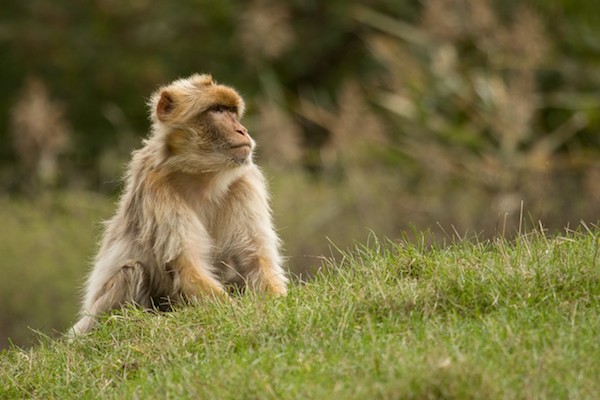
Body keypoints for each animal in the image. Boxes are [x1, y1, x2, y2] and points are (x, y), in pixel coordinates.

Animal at [70, 73, 286, 336]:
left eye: (232, 112)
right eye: (217, 110)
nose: (242, 130)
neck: (202, 177)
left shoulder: (244, 183)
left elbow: (255, 259)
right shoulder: (155, 187)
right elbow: (187, 267)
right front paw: (238, 315)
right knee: (132, 271)